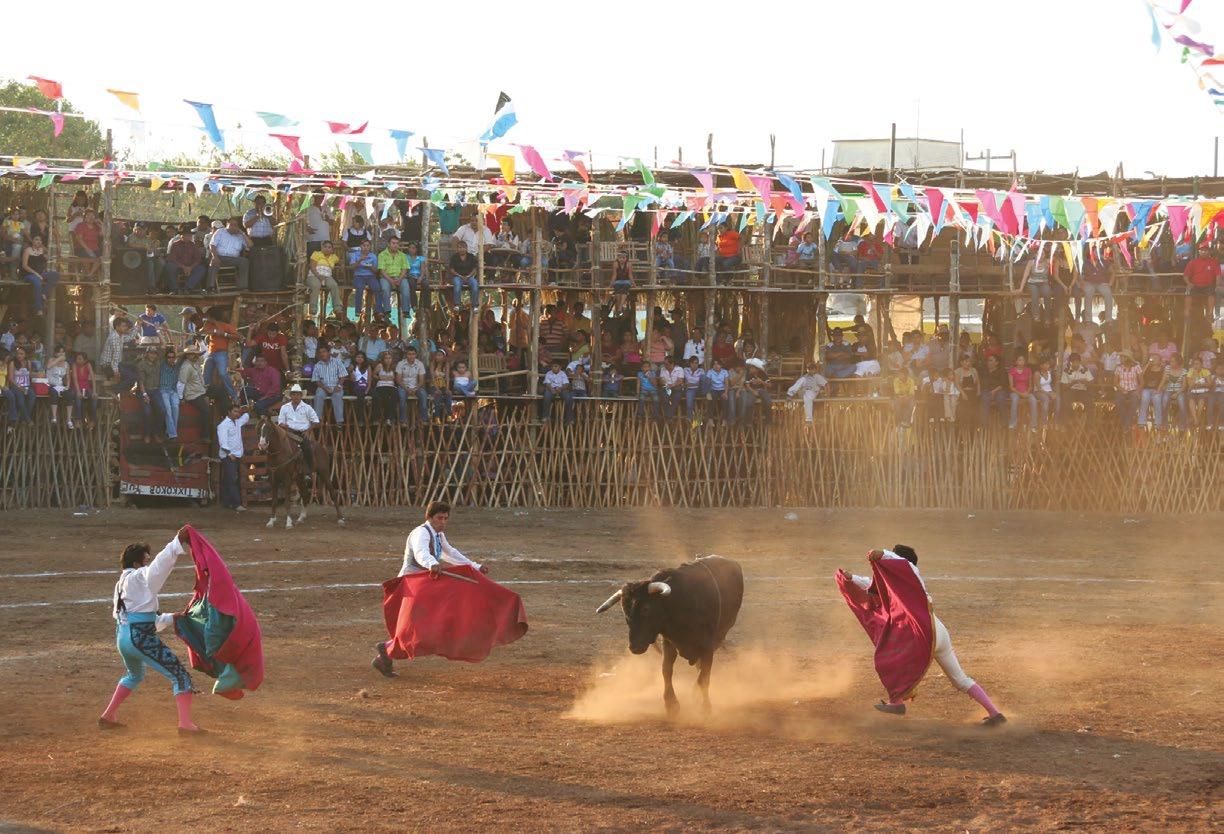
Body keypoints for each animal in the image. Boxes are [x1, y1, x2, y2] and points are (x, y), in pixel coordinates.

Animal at [595, 555, 743, 716]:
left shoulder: (708, 646)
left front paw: (704, 706)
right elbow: (666, 670)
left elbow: (704, 675)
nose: (634, 647)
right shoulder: (668, 642)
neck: (677, 604)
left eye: (646, 608)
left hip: (721, 634)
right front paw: (672, 705)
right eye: (624, 609)